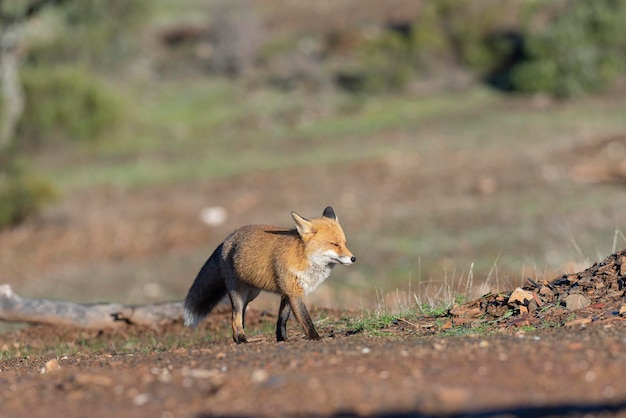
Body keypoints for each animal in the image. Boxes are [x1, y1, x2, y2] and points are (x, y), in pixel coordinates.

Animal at [183, 206, 354, 342]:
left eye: (344, 243)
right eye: (334, 244)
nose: (353, 258)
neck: (303, 257)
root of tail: (227, 239)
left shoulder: (288, 292)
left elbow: (282, 320)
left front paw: (282, 339)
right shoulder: (294, 292)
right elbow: (306, 319)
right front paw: (315, 338)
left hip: (251, 294)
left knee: (240, 315)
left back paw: (238, 338)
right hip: (238, 293)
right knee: (234, 317)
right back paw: (242, 340)